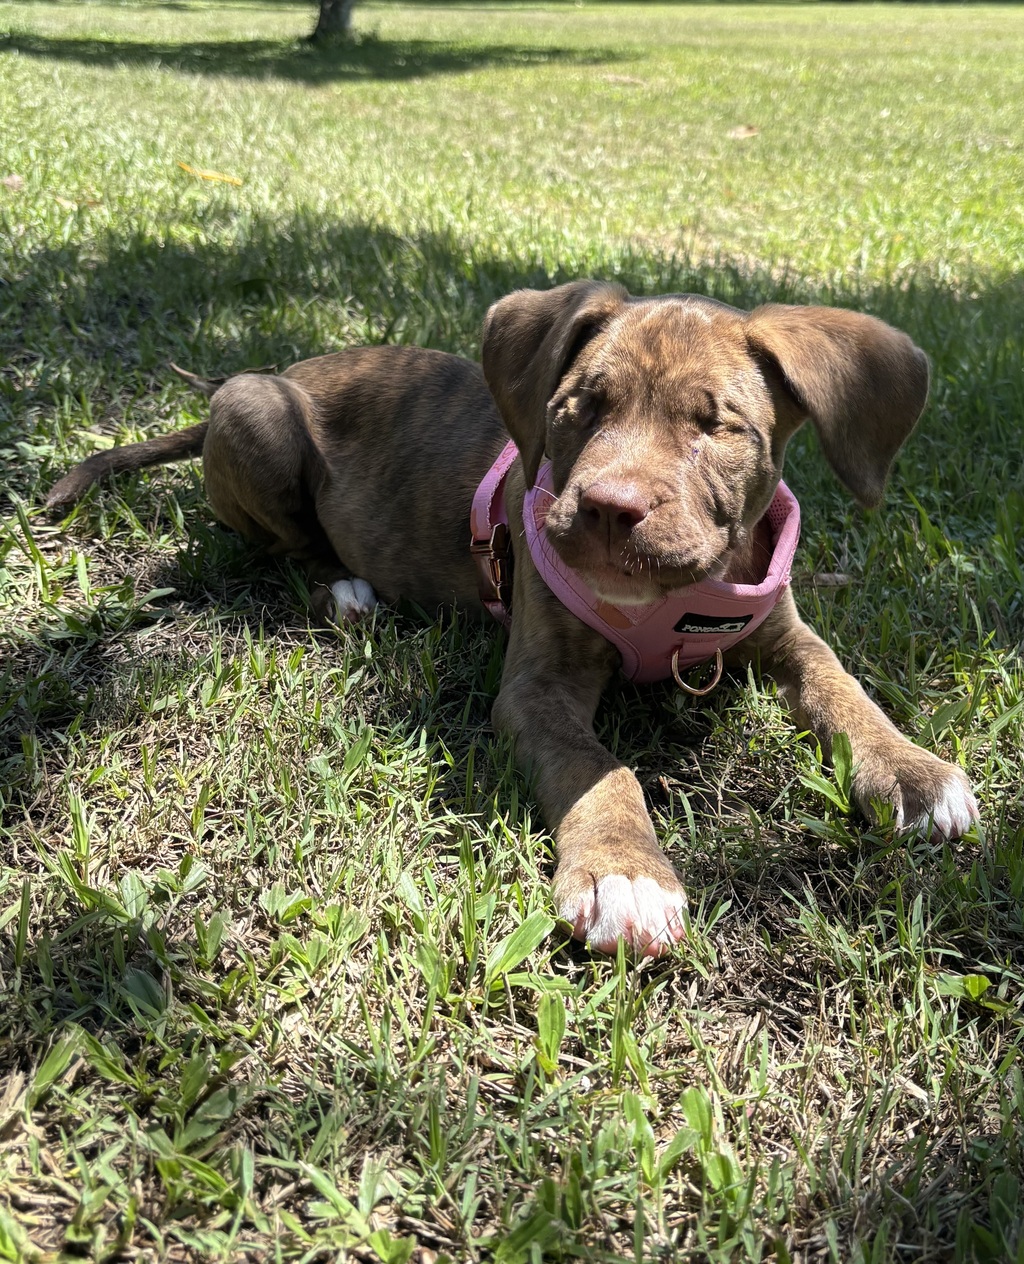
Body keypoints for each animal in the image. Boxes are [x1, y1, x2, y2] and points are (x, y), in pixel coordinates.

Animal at [46, 281, 979, 956]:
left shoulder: (787, 636)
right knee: (291, 549)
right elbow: (601, 767)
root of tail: (276, 373)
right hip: (258, 419)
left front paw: (910, 771)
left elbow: (844, 689)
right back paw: (346, 591)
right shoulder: (539, 688)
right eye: (578, 409)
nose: (609, 508)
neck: (673, 606)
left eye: (717, 426)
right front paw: (625, 875)